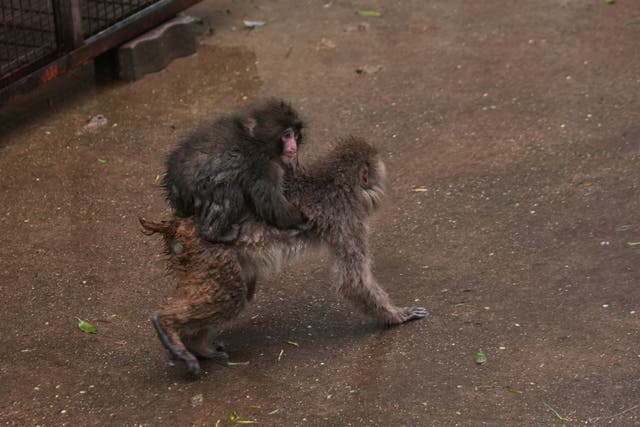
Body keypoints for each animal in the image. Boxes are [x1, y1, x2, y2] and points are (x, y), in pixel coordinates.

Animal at [141, 136, 429, 375]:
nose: (383, 184)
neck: (334, 183)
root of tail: (178, 223)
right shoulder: (346, 220)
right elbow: (353, 282)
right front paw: (396, 316)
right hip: (207, 253)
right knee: (231, 297)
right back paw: (167, 325)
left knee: (241, 292)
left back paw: (196, 344)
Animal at [162, 98, 308, 243]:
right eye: (287, 135)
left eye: (295, 135)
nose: (293, 146)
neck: (256, 141)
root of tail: (173, 184)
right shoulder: (262, 166)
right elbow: (271, 203)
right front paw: (302, 221)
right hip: (197, 190)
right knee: (230, 191)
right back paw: (214, 234)